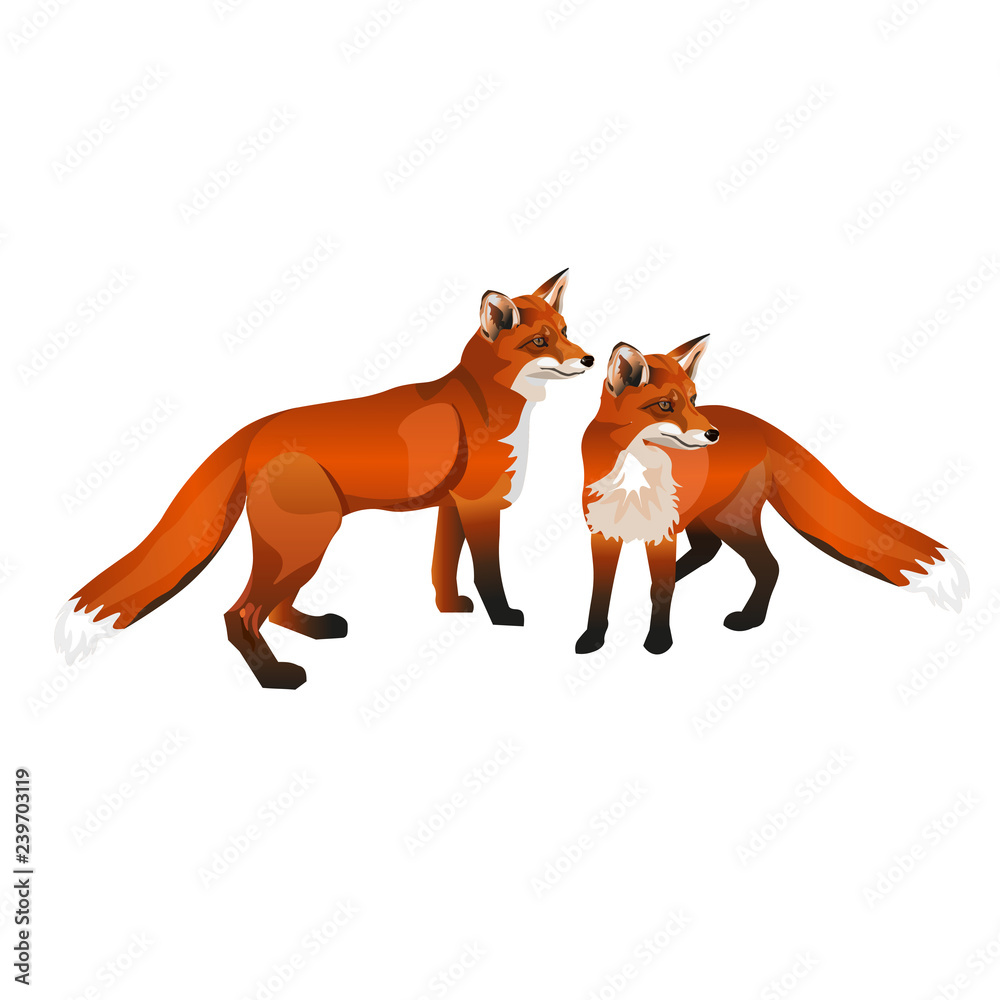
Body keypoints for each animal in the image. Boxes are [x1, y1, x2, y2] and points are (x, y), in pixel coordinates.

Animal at [58, 269, 593, 689]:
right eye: (540, 342)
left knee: (271, 609)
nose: (588, 359)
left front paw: (450, 608)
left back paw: (316, 630)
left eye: (567, 331)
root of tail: (256, 428)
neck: (486, 402)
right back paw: (275, 677)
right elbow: (489, 574)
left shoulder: (451, 504)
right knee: (240, 613)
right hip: (305, 540)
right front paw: (502, 617)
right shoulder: (481, 504)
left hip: (300, 544)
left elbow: (443, 564)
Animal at [576, 337, 969, 655]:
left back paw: (749, 618)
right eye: (665, 406)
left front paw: (659, 643)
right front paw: (592, 639)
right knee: (708, 551)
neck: (633, 479)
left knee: (768, 565)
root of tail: (756, 422)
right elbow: (600, 593)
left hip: (728, 520)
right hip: (705, 517)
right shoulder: (602, 533)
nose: (712, 434)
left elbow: (661, 590)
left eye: (693, 400)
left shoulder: (662, 533)